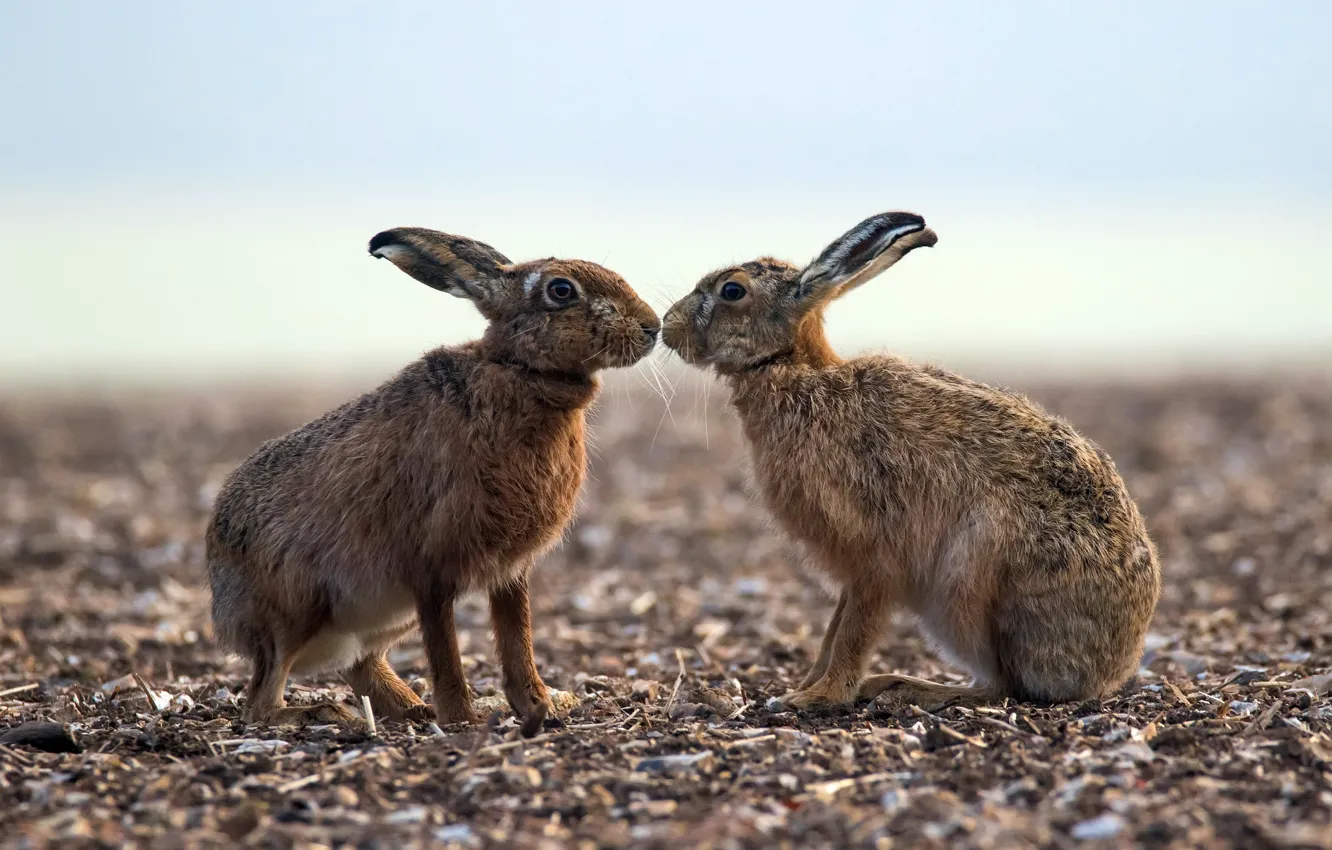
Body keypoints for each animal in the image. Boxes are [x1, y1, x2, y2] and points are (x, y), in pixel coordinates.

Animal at [206, 226, 660, 736]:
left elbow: (517, 638)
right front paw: (462, 719)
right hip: (295, 613)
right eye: (561, 290)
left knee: (360, 665)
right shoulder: (431, 566)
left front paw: (537, 706)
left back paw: (413, 709)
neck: (518, 372)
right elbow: (446, 650)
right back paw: (325, 712)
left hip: (381, 616)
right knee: (259, 703)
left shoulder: (510, 571)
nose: (652, 328)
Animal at [662, 211, 1161, 712]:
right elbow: (834, 628)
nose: (668, 325)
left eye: (732, 290)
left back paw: (903, 688)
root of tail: (1110, 669)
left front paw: (817, 696)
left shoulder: (872, 551)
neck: (789, 367)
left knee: (999, 684)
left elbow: (853, 630)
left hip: (967, 581)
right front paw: (806, 685)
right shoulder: (853, 569)